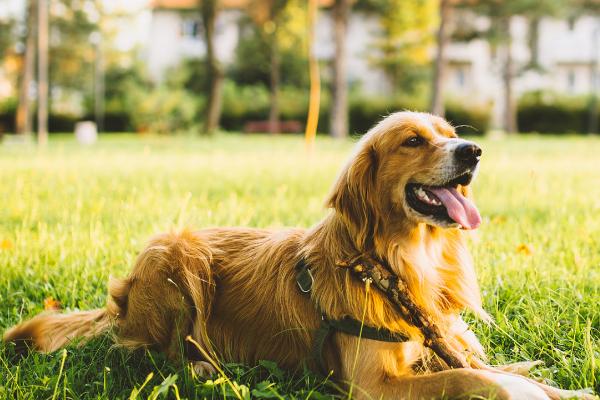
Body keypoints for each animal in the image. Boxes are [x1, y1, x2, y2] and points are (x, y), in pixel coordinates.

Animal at [3, 112, 596, 400]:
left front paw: (565, 389)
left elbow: (498, 372)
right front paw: (521, 388)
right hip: (175, 254)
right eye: (412, 141)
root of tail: (121, 299)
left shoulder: (432, 346)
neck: (393, 262)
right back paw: (205, 368)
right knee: (150, 354)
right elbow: (481, 381)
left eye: (451, 135)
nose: (473, 152)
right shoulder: (374, 386)